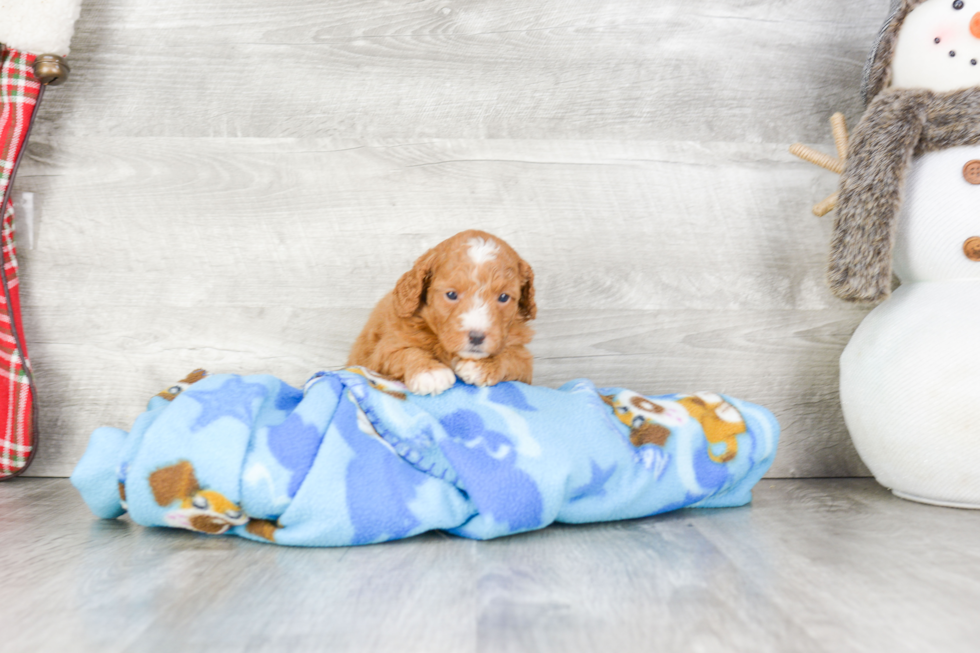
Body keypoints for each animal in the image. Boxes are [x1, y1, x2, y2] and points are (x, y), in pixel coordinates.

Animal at [348, 228, 536, 392]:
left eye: (503, 297)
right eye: (451, 294)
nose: (476, 337)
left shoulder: (525, 366)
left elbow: (513, 357)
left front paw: (482, 366)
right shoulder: (381, 354)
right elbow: (404, 352)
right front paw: (429, 372)